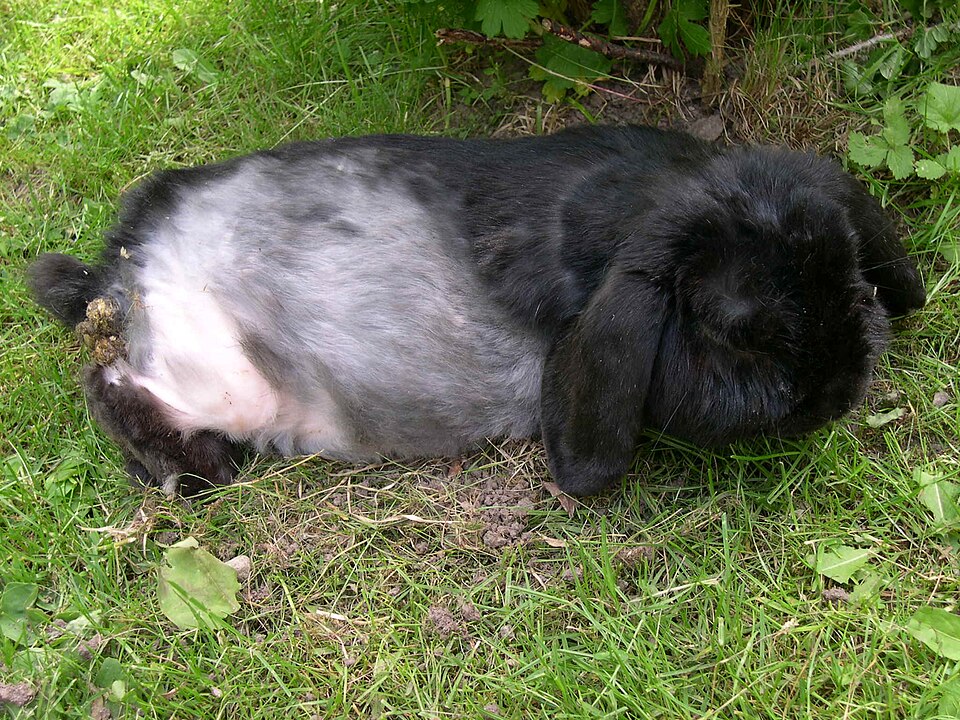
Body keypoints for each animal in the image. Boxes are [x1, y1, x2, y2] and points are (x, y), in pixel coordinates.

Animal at [28, 124, 926, 496]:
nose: (838, 393)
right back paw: (197, 470)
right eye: (741, 331)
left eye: (854, 280)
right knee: (108, 381)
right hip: (216, 375)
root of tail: (120, 262)